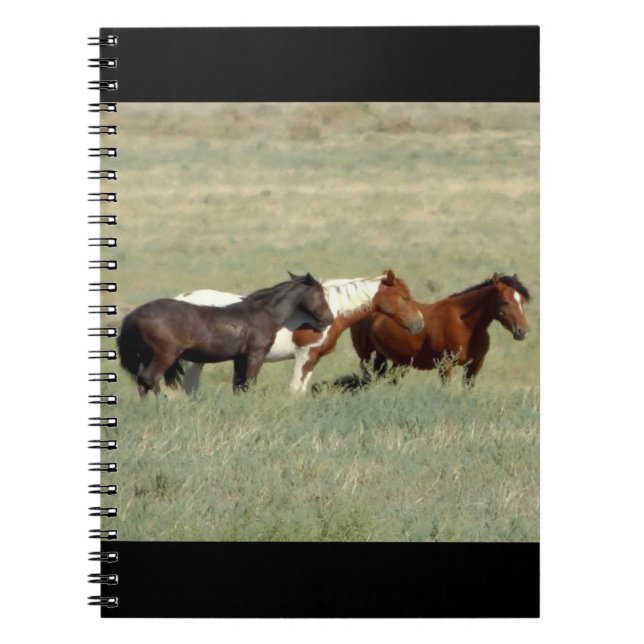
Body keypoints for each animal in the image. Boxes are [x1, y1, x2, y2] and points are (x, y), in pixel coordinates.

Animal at [117, 272, 334, 395]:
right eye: (320, 293)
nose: (330, 318)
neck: (263, 313)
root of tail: (133, 315)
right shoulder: (256, 354)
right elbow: (249, 382)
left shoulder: (240, 357)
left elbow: (239, 385)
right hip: (165, 355)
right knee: (150, 379)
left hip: (146, 357)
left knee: (142, 382)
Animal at [175, 270, 425, 394]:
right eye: (405, 297)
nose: (419, 323)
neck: (329, 310)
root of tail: (181, 298)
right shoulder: (304, 354)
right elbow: (295, 389)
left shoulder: (314, 358)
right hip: (193, 362)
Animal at [350, 273, 531, 386]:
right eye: (505, 301)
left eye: (522, 300)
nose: (523, 331)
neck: (465, 325)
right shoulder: (445, 365)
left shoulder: (474, 366)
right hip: (366, 356)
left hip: (396, 361)